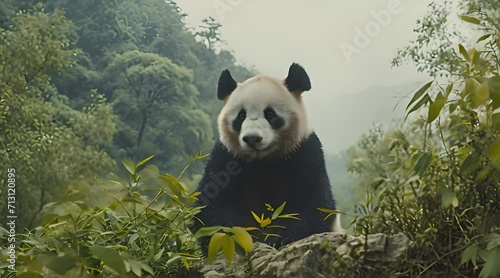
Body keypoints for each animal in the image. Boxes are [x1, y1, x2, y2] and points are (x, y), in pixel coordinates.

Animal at [190, 63, 340, 252]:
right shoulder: (226, 156)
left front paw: (281, 239)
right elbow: (210, 201)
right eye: (241, 115)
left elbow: (315, 203)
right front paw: (234, 238)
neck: (263, 159)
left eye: (270, 114)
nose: (252, 138)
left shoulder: (305, 152)